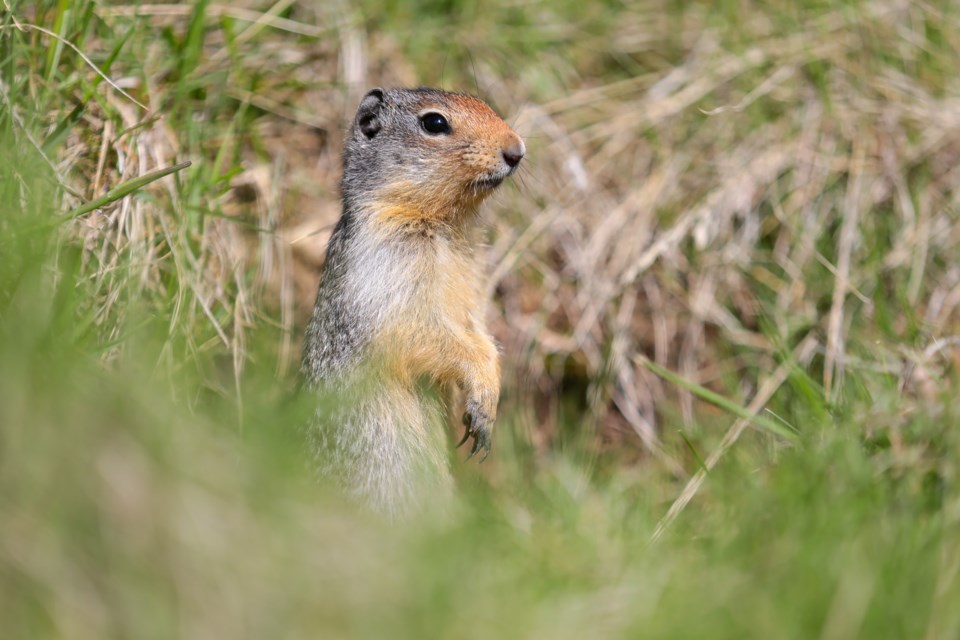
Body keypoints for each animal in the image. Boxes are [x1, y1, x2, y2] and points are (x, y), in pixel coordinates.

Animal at [302, 86, 520, 516]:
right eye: (434, 122)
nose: (517, 150)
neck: (445, 225)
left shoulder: (471, 286)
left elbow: (479, 333)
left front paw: (487, 402)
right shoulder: (389, 271)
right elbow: (421, 332)